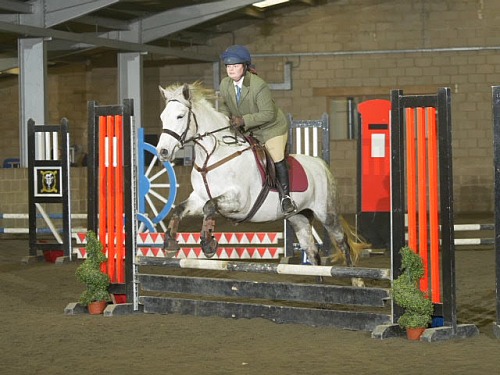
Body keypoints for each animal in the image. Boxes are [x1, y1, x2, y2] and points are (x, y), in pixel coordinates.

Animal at [156, 83, 372, 284]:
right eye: (162, 117)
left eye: (180, 116)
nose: (163, 152)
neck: (213, 157)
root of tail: (321, 164)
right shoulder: (198, 199)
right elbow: (179, 209)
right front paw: (170, 243)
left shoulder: (239, 201)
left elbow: (210, 207)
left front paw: (208, 243)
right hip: (298, 217)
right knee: (312, 251)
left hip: (326, 213)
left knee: (342, 242)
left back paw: (356, 279)